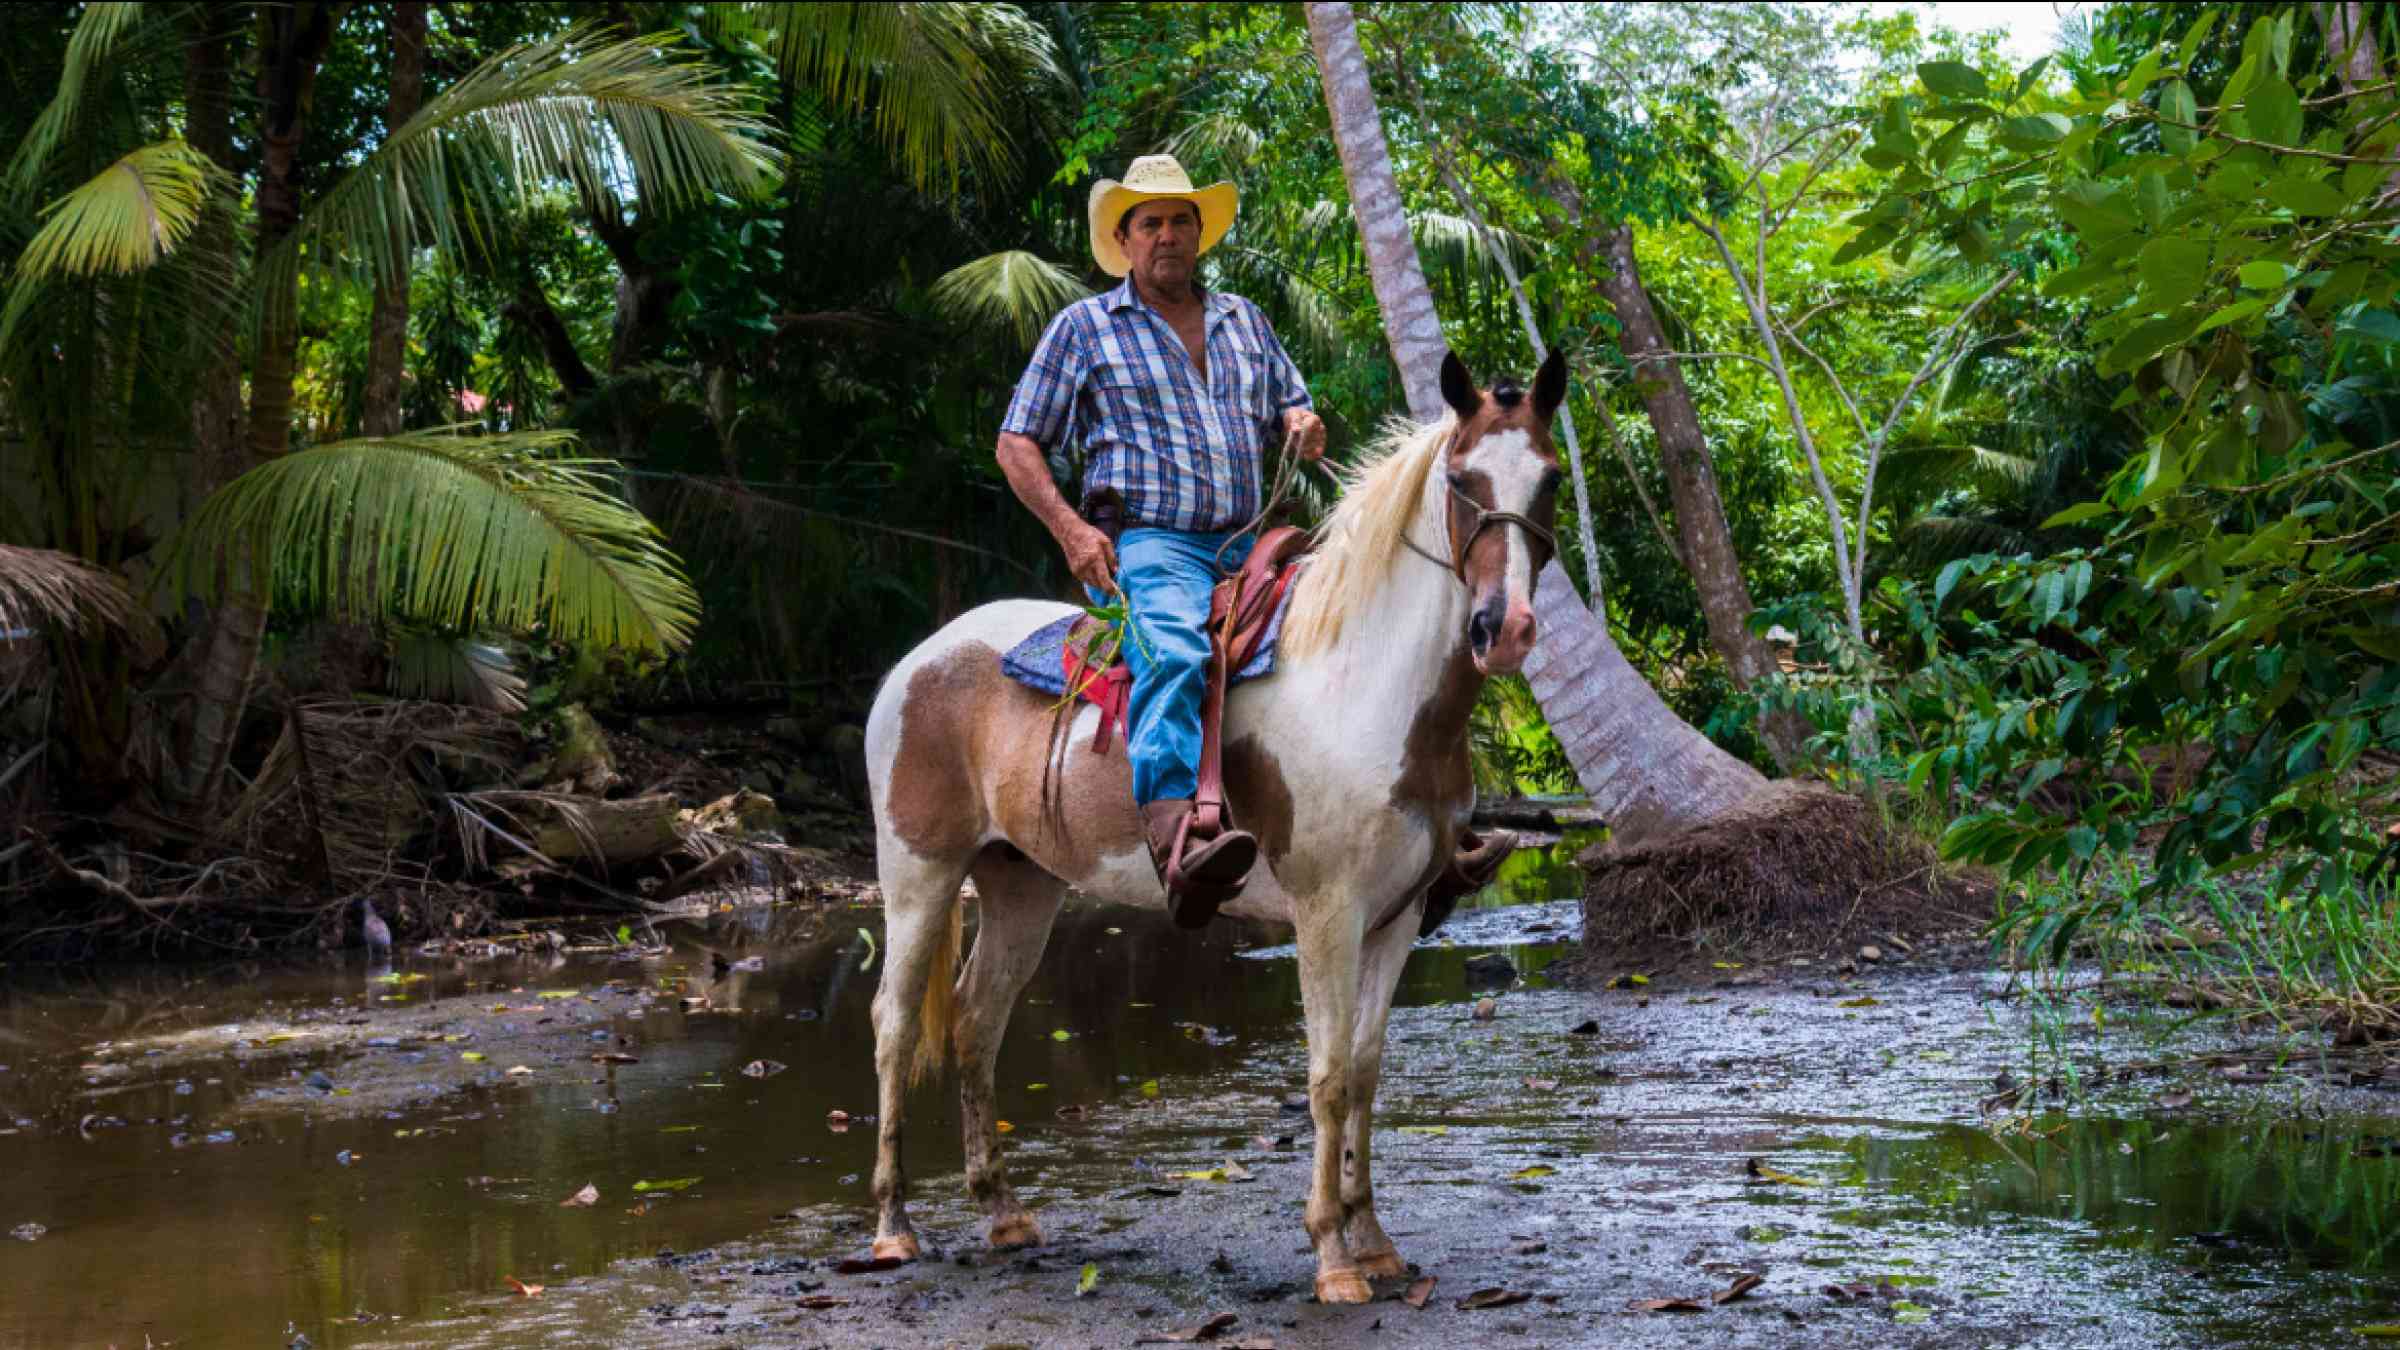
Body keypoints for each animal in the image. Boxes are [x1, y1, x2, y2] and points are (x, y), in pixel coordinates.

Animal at [861, 348, 1567, 1303]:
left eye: (1551, 479)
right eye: (1460, 480)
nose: (1507, 628)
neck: (1366, 682)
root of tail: (915, 661)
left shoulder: (1400, 915)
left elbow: (1368, 1074)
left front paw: (1374, 1240)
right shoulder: (1326, 913)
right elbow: (1328, 1078)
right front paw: (1333, 1258)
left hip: (1020, 883)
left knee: (975, 1021)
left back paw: (1002, 1213)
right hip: (919, 872)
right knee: (896, 1024)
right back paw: (893, 1227)